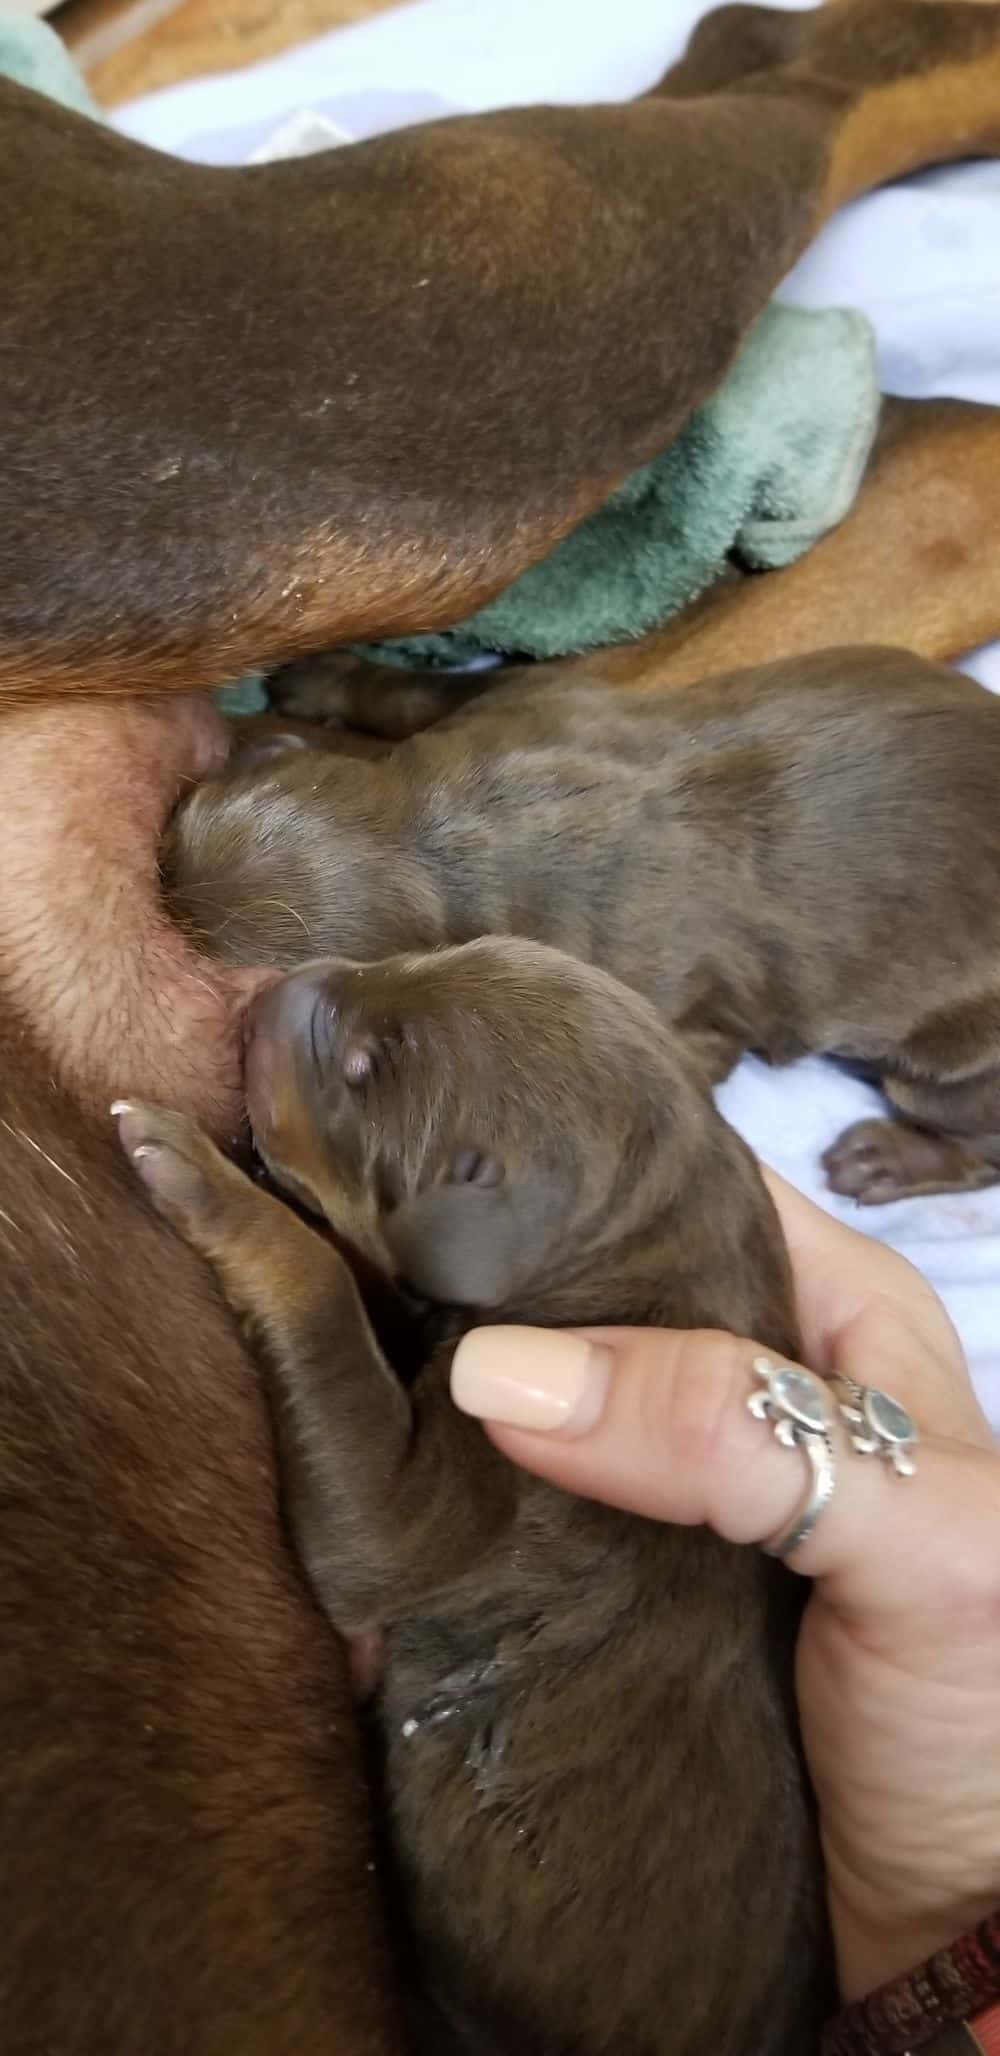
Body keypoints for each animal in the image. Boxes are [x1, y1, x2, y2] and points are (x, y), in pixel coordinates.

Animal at [111, 941, 827, 2056]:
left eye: (361, 1070)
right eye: (405, 958)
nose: (264, 989)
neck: (640, 1237)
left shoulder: (459, 1490)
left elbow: (322, 1295)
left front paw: (202, 1175)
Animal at [167, 645, 1000, 1200]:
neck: (438, 840)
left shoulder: (672, 1007)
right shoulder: (528, 695)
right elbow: (425, 690)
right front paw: (323, 675)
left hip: (953, 1064)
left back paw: (889, 1158)